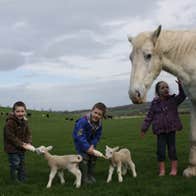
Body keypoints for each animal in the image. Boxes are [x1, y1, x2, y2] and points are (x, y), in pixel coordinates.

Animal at [128, 25, 196, 177]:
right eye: (130, 58)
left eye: (148, 55)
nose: (134, 95)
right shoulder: (194, 103)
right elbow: (193, 136)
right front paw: (192, 169)